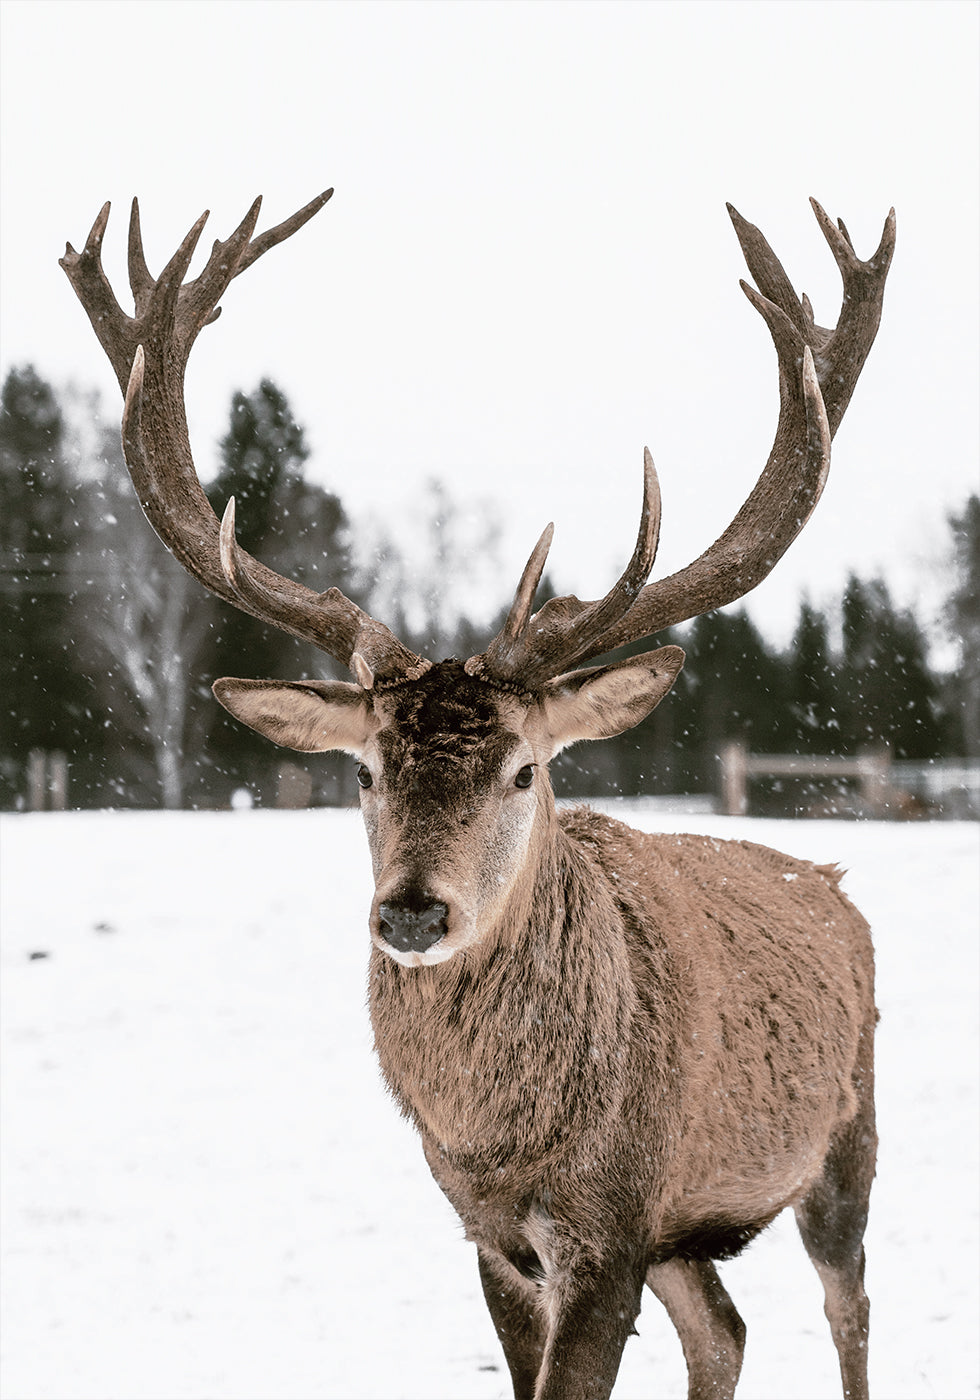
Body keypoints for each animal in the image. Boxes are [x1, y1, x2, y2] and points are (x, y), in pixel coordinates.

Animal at [59, 191, 890, 1400]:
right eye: (362, 769)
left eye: (526, 767)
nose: (412, 911)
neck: (509, 1146)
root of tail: (832, 883)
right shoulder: (496, 1237)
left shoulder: (610, 1226)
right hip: (685, 1229)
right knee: (726, 1329)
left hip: (845, 1137)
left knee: (845, 1307)